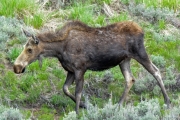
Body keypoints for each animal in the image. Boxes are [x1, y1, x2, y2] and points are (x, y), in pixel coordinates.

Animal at [13, 20, 170, 113]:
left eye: (29, 50)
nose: (16, 67)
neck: (59, 50)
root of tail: (142, 30)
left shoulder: (80, 69)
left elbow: (77, 92)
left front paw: (77, 112)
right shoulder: (70, 71)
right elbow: (65, 89)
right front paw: (84, 105)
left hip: (140, 53)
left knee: (156, 71)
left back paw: (167, 102)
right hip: (124, 60)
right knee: (130, 79)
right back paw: (118, 106)